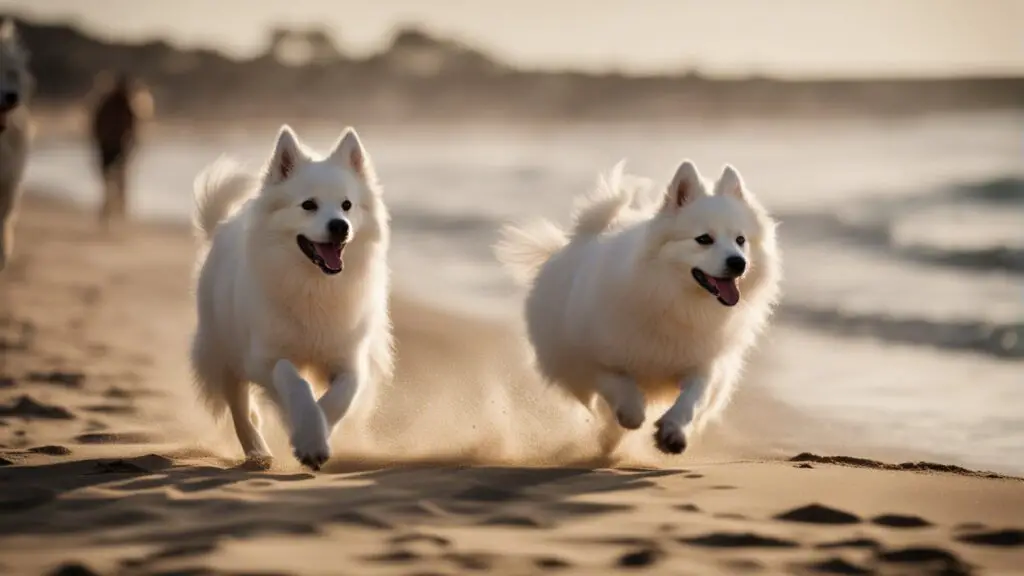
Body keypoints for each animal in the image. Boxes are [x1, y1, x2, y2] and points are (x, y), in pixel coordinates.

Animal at [188, 124, 391, 467]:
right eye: (308, 205)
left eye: (347, 205)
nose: (340, 226)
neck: (313, 285)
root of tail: (222, 226)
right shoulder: (264, 357)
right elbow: (294, 382)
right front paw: (307, 437)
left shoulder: (348, 359)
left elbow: (340, 397)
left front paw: (315, 435)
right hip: (224, 353)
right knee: (240, 409)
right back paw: (257, 453)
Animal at [493, 156, 774, 453]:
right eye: (704, 239)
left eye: (740, 240)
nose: (738, 262)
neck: (676, 300)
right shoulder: (592, 357)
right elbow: (618, 385)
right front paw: (631, 413)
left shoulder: (704, 362)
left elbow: (693, 398)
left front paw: (673, 431)